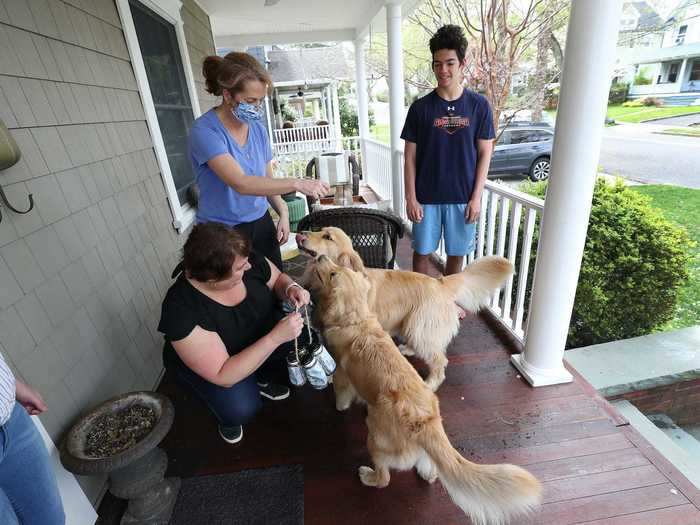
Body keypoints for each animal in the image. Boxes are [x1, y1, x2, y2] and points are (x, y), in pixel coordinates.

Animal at [296, 227, 516, 390]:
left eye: (327, 237)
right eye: (319, 229)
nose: (298, 234)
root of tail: (440, 283)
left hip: (420, 327)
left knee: (439, 361)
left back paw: (430, 384)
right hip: (412, 324)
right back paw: (407, 349)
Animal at [312, 254, 540, 524]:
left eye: (334, 273)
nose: (321, 257)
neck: (356, 320)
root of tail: (425, 421)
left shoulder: (343, 374)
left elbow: (340, 391)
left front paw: (337, 403)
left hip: (375, 439)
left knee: (384, 478)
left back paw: (368, 475)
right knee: (430, 470)